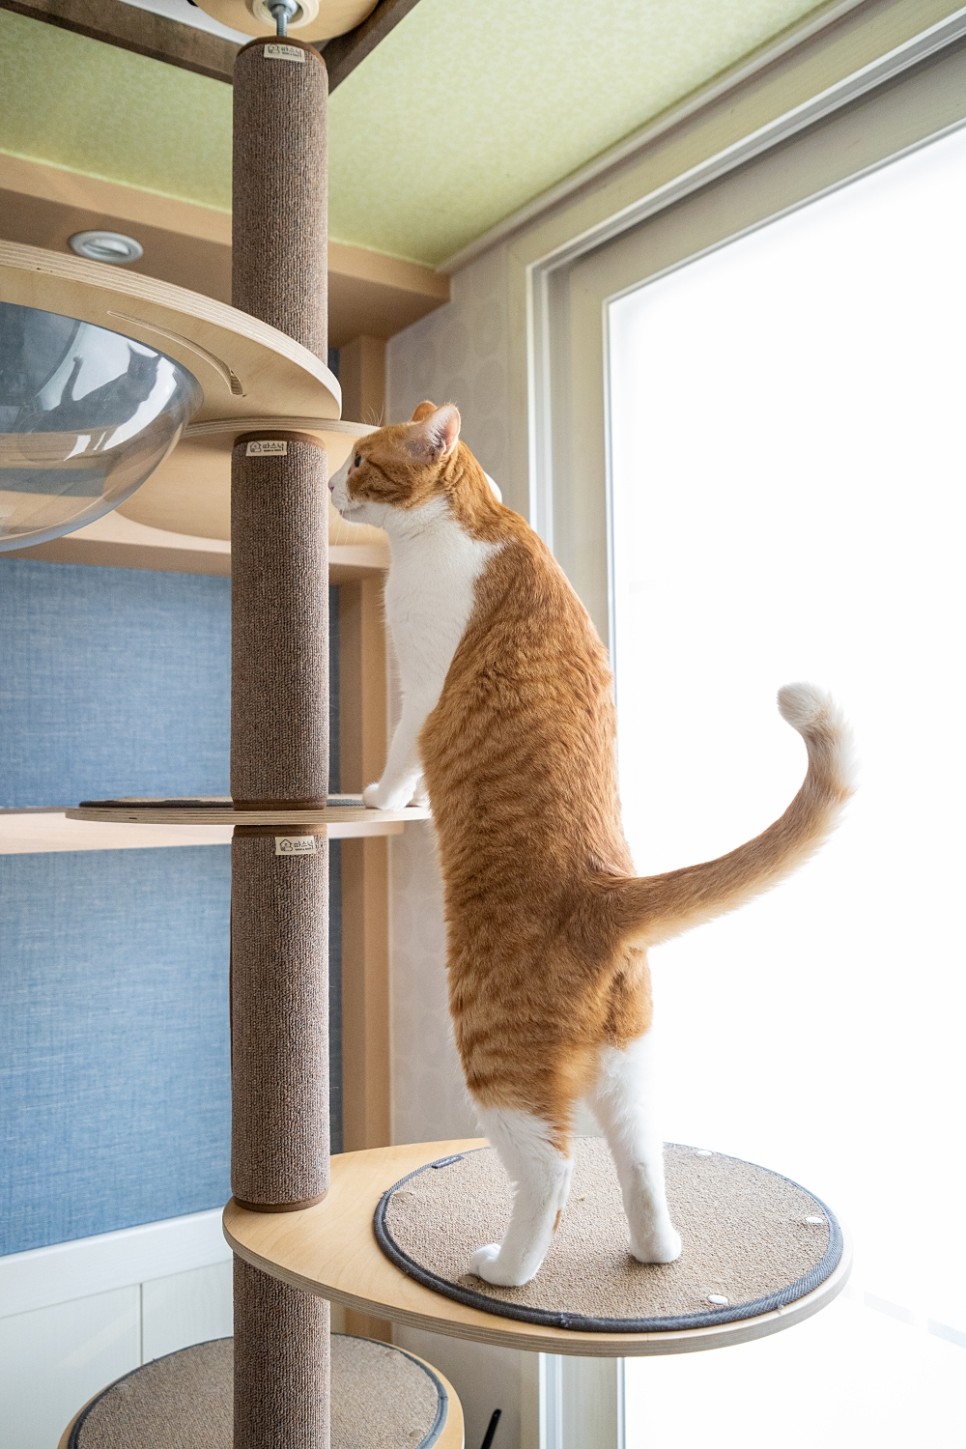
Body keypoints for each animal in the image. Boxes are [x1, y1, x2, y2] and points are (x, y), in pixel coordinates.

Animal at [330, 402, 851, 1286]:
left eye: (363, 458)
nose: (329, 480)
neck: (475, 522)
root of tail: (610, 891)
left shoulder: (421, 691)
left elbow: (401, 757)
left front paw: (378, 798)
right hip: (628, 1061)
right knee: (641, 1155)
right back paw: (652, 1250)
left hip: (494, 1053)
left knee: (554, 1168)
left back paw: (504, 1268)